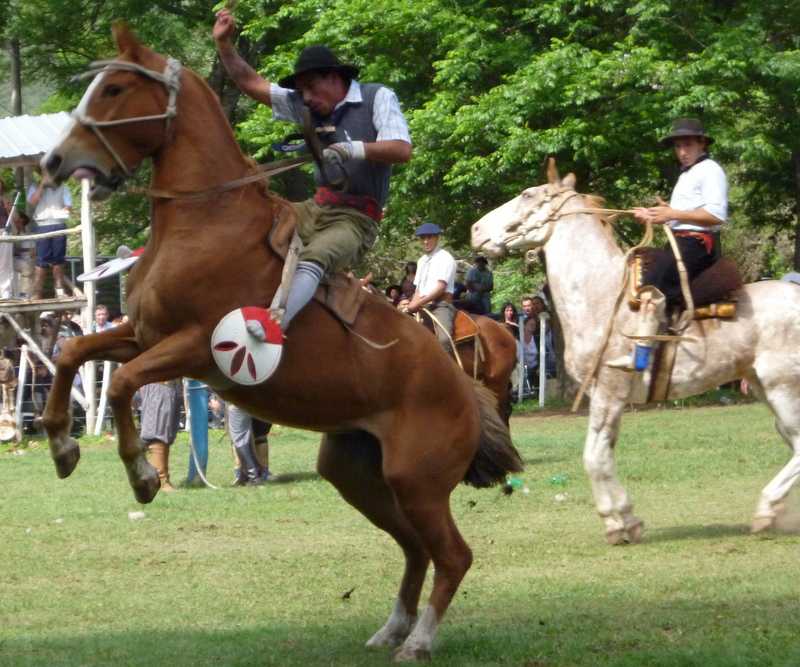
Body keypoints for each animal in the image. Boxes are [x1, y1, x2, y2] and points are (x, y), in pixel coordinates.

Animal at [42, 24, 520, 664]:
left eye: (115, 88)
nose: (54, 161)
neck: (204, 220)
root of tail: (465, 392)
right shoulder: (140, 334)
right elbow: (74, 354)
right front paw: (62, 446)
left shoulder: (194, 348)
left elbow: (120, 383)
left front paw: (142, 475)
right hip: (357, 474)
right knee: (416, 550)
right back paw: (392, 628)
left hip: (416, 483)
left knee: (452, 555)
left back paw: (418, 640)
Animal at [472, 162, 800, 544]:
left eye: (526, 194)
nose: (476, 230)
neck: (602, 296)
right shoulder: (607, 397)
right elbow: (604, 453)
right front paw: (625, 517)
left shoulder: (609, 390)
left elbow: (594, 457)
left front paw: (617, 523)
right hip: (763, 386)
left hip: (782, 388)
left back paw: (765, 510)